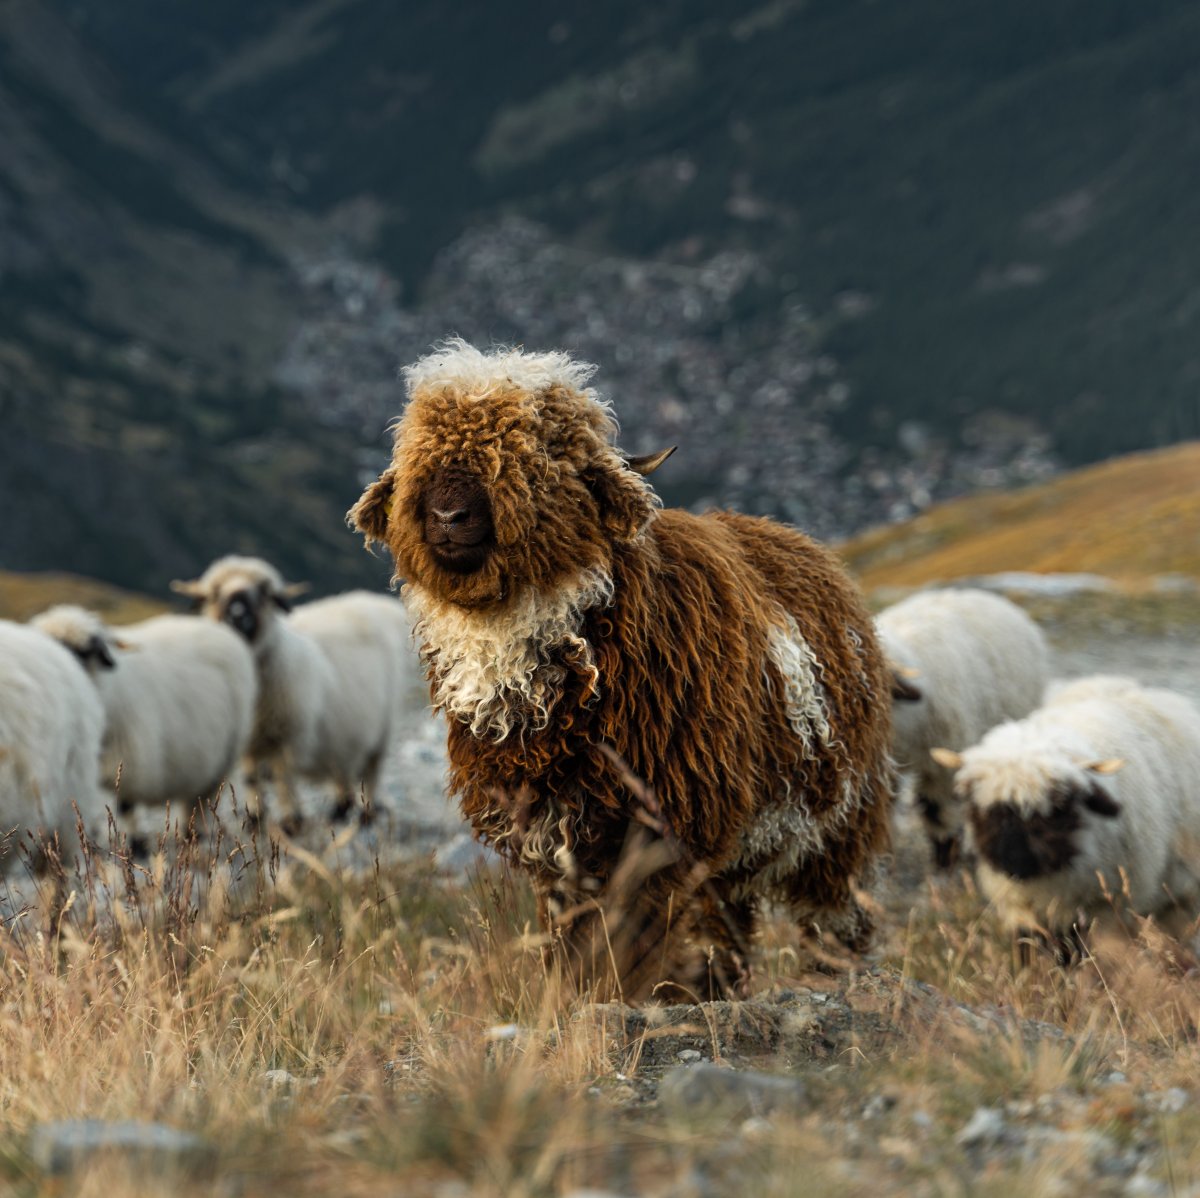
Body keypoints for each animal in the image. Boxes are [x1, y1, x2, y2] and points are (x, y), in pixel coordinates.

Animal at [170, 556, 419, 831]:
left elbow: (284, 779)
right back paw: (340, 811)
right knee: (342, 768)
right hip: (344, 730)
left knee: (372, 771)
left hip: (384, 728)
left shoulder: (288, 736)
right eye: (215, 593)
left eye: (263, 594)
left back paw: (367, 814)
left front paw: (291, 820)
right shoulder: (248, 741)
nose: (237, 614)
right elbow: (251, 778)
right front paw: (255, 817)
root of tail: (378, 603)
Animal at [348, 339, 895, 1000]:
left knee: (835, 915)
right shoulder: (553, 841)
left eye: (542, 453)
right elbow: (573, 937)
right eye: (415, 452)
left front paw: (624, 997)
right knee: (731, 926)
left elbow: (630, 936)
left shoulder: (657, 829)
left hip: (839, 823)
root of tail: (801, 544)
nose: (448, 516)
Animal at [931, 678, 1200, 957]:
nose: (1014, 864)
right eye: (986, 811)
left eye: (1058, 808)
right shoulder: (1018, 906)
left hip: (1182, 895)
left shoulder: (1102, 910)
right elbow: (1027, 947)